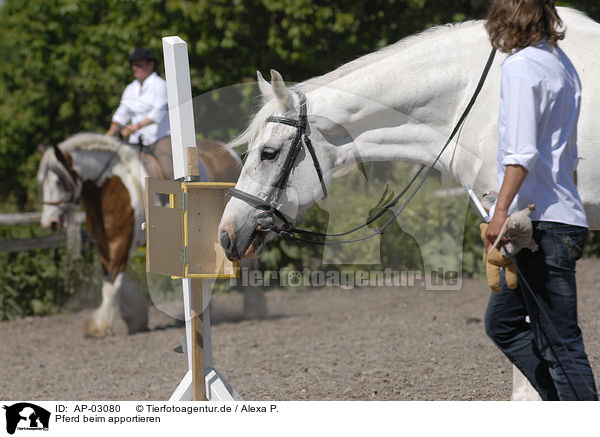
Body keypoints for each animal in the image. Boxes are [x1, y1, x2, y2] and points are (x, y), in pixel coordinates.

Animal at [38, 132, 251, 338]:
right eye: (42, 183)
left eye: (60, 181)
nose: (50, 222)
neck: (110, 187)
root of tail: (226, 151)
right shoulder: (105, 244)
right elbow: (112, 279)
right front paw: (134, 316)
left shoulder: (121, 241)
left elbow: (112, 282)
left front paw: (101, 326)